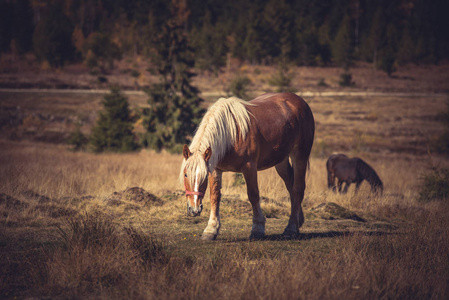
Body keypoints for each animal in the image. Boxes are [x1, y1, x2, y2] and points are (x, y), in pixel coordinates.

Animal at [177, 92, 314, 240]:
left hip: (300, 156)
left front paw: (258, 228)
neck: (230, 135)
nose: (194, 209)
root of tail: (299, 101)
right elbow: (215, 197)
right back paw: (298, 221)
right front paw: (211, 229)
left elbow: (253, 195)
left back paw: (291, 228)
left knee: (297, 189)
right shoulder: (215, 170)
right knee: (290, 186)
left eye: (202, 176)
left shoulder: (249, 167)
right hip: (281, 161)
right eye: (186, 174)